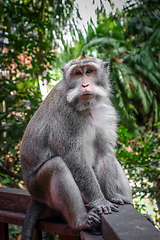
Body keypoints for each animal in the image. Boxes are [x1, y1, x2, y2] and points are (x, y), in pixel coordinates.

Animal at [20, 53, 132, 239]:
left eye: (89, 71)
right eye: (77, 74)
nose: (84, 84)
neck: (88, 106)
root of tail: (34, 196)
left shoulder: (106, 110)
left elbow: (105, 153)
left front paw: (112, 196)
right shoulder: (63, 113)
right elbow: (73, 157)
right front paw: (100, 202)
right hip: (37, 187)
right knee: (57, 166)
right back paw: (80, 221)